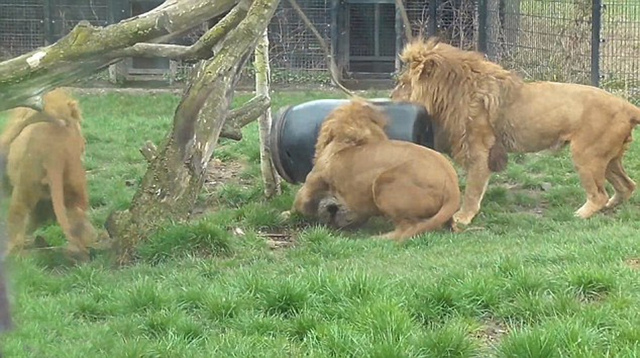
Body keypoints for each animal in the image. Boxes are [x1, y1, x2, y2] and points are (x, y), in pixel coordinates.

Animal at [288, 99, 460, 242]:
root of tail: (453, 191)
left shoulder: (312, 182)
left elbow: (299, 203)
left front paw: (287, 215)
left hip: (383, 184)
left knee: (407, 229)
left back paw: (378, 238)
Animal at [390, 36, 640, 227]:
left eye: (403, 83)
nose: (391, 97)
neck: (451, 94)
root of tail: (627, 106)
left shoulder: (480, 150)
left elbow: (472, 189)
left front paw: (462, 218)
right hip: (607, 159)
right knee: (627, 186)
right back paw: (610, 206)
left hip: (586, 155)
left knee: (599, 194)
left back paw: (580, 214)